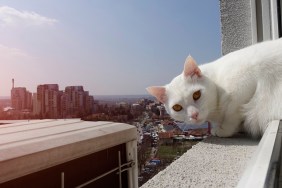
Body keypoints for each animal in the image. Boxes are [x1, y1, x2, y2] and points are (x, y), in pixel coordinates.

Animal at [147, 38, 282, 138]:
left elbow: (231, 114)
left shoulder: (242, 86)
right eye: (177, 107)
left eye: (196, 94)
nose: (194, 115)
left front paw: (223, 130)